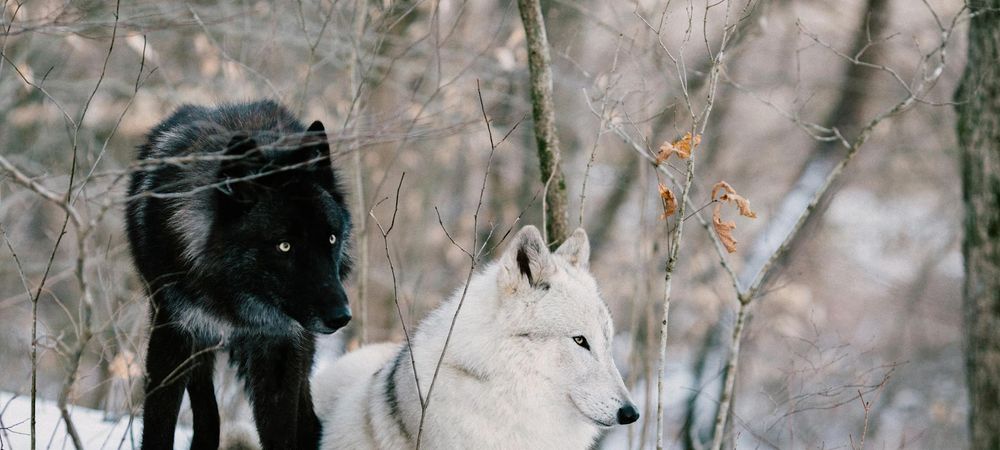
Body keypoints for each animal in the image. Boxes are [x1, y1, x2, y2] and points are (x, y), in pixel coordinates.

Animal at [125, 100, 352, 450]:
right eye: (284, 246)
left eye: (330, 238)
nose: (341, 316)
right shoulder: (172, 335)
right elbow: (159, 429)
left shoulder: (280, 349)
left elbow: (281, 434)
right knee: (208, 416)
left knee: (308, 421)